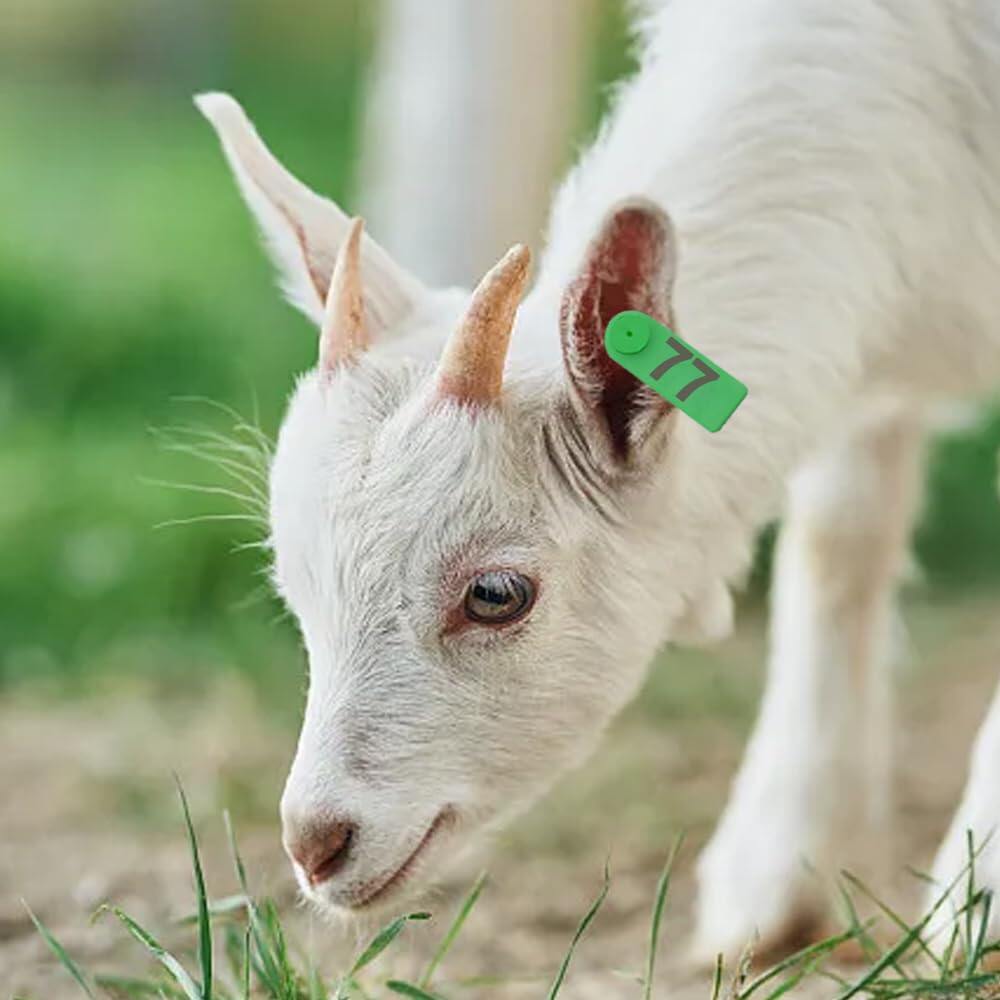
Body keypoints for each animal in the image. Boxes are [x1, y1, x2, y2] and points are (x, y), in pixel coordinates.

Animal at [196, 0, 1000, 958]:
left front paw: (976, 905)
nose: (316, 844)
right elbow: (841, 537)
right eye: (295, 587)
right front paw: (775, 876)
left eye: (497, 594)